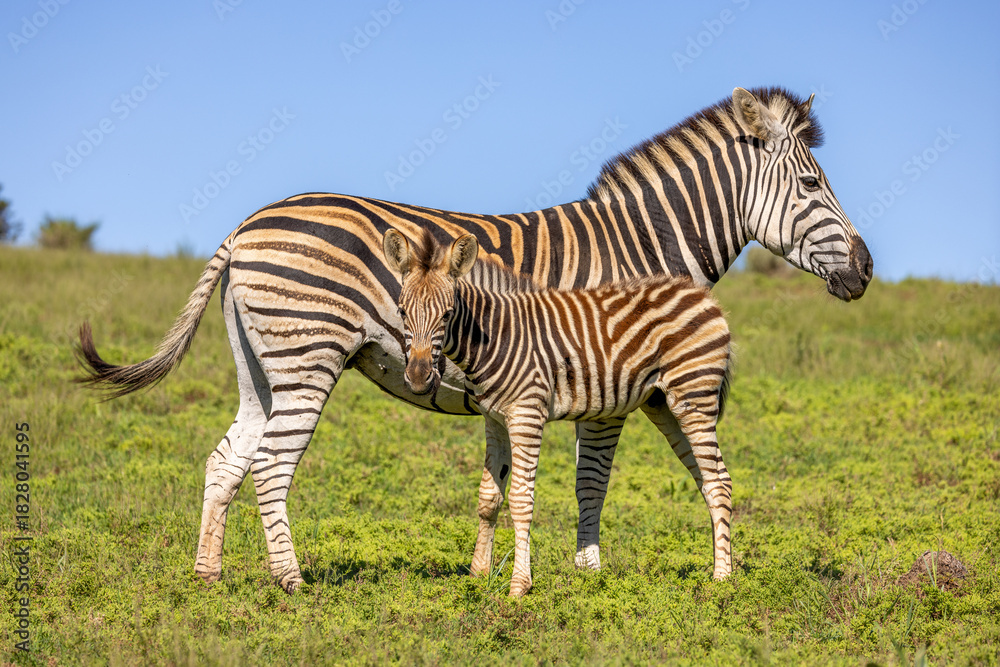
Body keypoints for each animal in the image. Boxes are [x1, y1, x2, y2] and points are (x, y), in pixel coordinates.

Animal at [383, 227, 734, 596]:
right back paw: (718, 567)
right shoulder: (494, 420)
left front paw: (518, 586)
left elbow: (521, 500)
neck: (494, 336)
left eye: (448, 314)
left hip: (694, 395)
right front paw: (478, 575)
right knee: (708, 480)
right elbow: (488, 497)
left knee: (719, 482)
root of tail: (701, 295)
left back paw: (722, 579)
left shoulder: (527, 415)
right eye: (402, 312)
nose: (418, 377)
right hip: (664, 404)